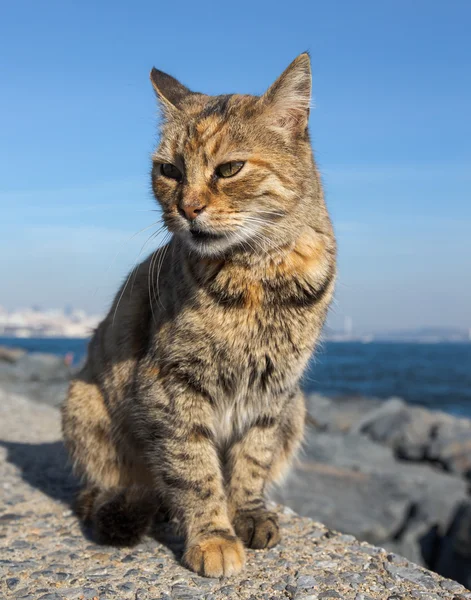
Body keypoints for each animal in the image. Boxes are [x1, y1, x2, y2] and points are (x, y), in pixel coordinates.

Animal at [61, 54, 336, 580]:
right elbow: (194, 470)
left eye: (229, 169)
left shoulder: (274, 392)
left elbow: (252, 459)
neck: (259, 275)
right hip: (85, 405)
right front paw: (213, 536)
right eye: (168, 170)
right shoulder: (170, 386)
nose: (186, 208)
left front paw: (246, 513)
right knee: (112, 487)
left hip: (297, 409)